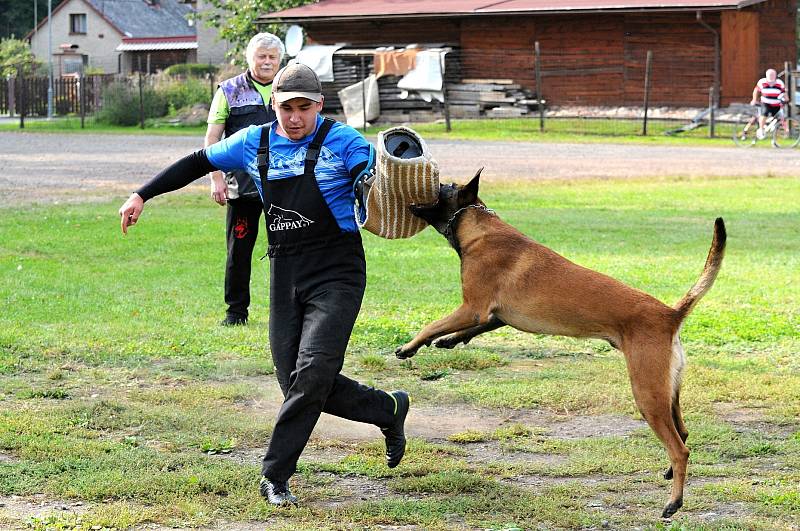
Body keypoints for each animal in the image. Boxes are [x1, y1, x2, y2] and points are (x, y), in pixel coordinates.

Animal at [396, 171, 728, 520]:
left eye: (444, 186)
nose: (425, 182)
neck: (478, 226)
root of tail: (670, 314)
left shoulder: (473, 307)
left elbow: (432, 323)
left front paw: (409, 346)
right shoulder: (495, 316)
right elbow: (465, 330)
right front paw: (446, 341)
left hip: (647, 392)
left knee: (680, 448)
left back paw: (673, 502)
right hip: (668, 391)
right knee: (684, 433)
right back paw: (669, 474)